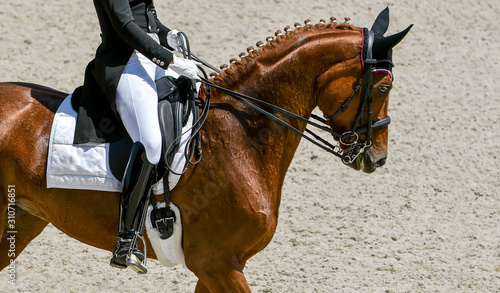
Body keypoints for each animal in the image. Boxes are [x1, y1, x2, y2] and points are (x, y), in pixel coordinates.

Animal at [0, 10, 410, 292]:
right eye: (384, 87)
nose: (377, 158)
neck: (242, 133)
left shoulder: (219, 265)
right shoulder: (217, 263)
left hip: (23, 221)